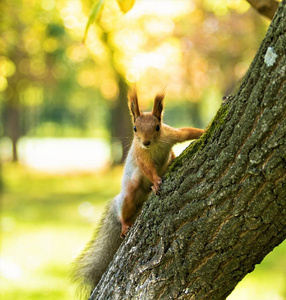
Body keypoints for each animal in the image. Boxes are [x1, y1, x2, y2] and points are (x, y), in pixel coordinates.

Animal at [72, 90, 204, 296]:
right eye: (134, 128)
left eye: (157, 127)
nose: (146, 142)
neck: (154, 146)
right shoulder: (141, 155)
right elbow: (148, 169)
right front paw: (156, 182)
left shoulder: (170, 135)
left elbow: (187, 132)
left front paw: (204, 131)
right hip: (129, 192)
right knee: (125, 209)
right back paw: (125, 224)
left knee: (171, 157)